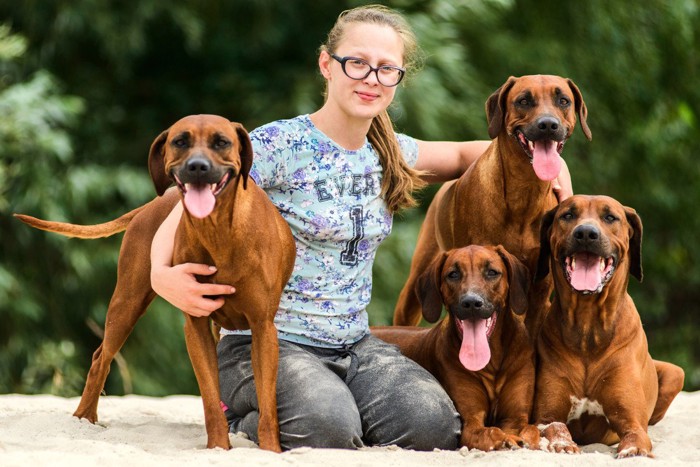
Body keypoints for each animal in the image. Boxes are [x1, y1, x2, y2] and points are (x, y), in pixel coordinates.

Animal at [15, 114, 296, 454]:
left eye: (221, 142)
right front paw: (218, 447)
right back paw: (83, 419)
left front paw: (270, 451)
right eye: (180, 141)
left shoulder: (262, 328)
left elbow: (267, 406)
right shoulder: (196, 325)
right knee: (100, 359)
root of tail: (151, 204)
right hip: (127, 302)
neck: (218, 231)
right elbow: (210, 401)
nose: (197, 167)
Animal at [374, 247, 540, 452]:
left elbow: (528, 428)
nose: (471, 303)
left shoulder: (515, 417)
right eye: (453, 274)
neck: (491, 361)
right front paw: (505, 439)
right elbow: (491, 431)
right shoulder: (470, 422)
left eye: (492, 272)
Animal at [394, 75, 592, 338]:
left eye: (563, 100)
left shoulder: (539, 290)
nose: (548, 125)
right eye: (523, 100)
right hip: (416, 283)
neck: (525, 192)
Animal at [532, 196, 688, 458]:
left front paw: (634, 450)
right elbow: (554, 427)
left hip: (676, 373)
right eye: (567, 215)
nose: (586, 233)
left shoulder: (631, 419)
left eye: (610, 217)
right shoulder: (546, 414)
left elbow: (636, 435)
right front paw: (563, 443)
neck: (588, 327)